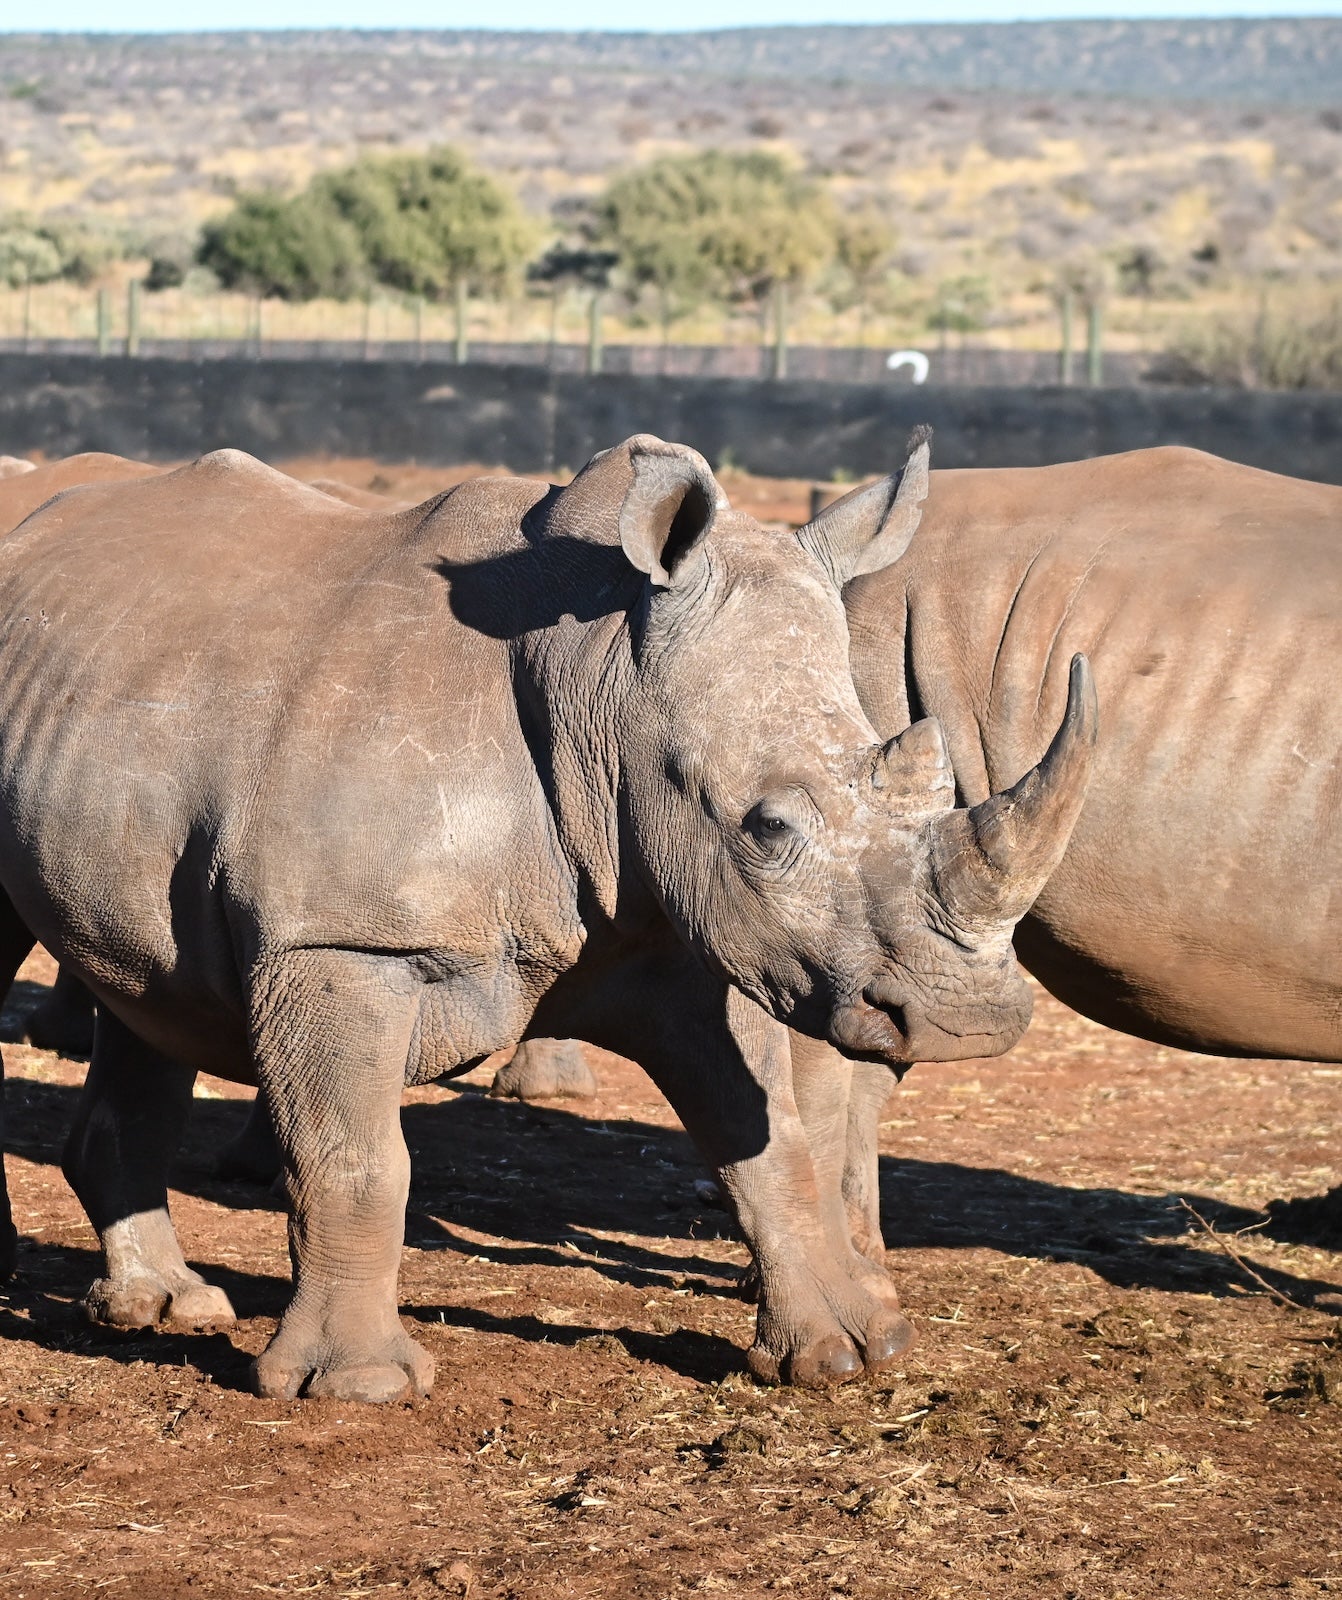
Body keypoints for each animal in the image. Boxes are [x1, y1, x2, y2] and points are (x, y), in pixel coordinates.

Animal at [0, 433, 1094, 1400]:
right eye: (769, 825)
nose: (967, 1024)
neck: (603, 675)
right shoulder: (338, 941)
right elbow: (356, 1160)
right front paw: (357, 1387)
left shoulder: (683, 933)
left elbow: (765, 1141)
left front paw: (843, 1352)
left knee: (149, 990)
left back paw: (167, 1306)